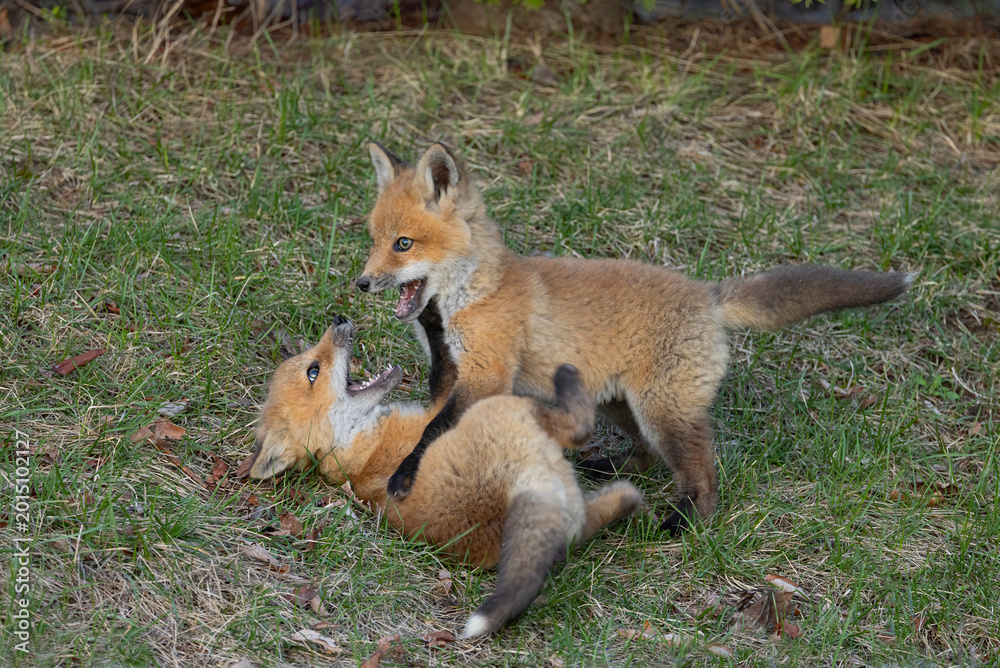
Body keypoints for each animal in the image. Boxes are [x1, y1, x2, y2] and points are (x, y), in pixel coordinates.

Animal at [244, 312, 643, 638]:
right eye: (313, 371)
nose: (339, 318)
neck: (351, 445)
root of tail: (508, 500)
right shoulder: (441, 412)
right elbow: (444, 370)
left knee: (603, 507)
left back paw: (626, 491)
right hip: (503, 409)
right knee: (577, 427)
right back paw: (568, 383)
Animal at [355, 140, 914, 534]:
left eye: (404, 244)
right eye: (374, 240)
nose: (360, 283)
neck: (470, 296)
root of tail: (707, 295)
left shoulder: (485, 373)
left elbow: (433, 430)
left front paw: (405, 475)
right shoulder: (448, 370)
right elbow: (432, 419)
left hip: (663, 409)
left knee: (702, 467)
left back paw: (687, 522)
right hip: (620, 403)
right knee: (648, 455)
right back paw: (611, 466)